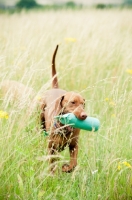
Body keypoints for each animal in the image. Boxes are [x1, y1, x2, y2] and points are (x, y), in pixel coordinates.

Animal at [40, 45, 87, 173]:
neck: (65, 128)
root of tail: (55, 88)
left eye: (83, 104)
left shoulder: (74, 145)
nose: (84, 115)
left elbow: (74, 163)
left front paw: (66, 168)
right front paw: (52, 174)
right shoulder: (52, 148)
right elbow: (52, 164)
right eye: (72, 102)